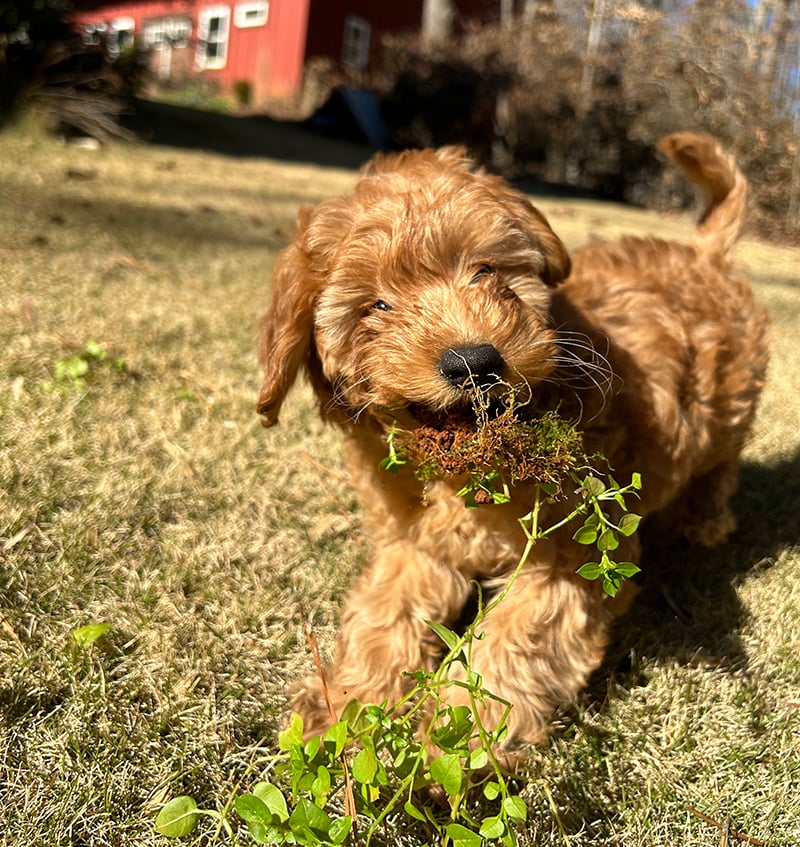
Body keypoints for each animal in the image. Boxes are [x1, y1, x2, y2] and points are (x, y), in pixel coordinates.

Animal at [256, 134, 768, 760]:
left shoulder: (570, 559)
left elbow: (515, 639)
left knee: (721, 465)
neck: (465, 473)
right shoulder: (416, 545)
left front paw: (456, 739)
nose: (474, 362)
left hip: (731, 410)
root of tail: (703, 253)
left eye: (484, 270)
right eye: (376, 305)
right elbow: (385, 611)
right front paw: (348, 706)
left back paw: (704, 521)